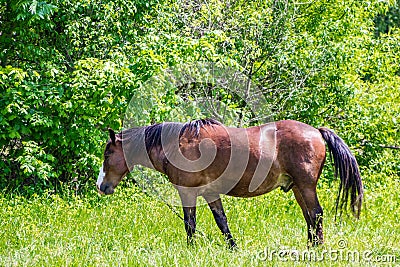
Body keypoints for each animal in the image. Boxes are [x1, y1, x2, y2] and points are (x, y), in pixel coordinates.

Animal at [96, 119, 362, 249]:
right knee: (309, 217)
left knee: (316, 214)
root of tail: (316, 131)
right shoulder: (210, 193)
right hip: (297, 188)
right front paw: (233, 247)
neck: (176, 144)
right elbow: (221, 221)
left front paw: (191, 249)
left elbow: (190, 224)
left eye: (108, 153)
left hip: (305, 186)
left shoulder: (188, 193)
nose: (102, 186)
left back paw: (317, 249)